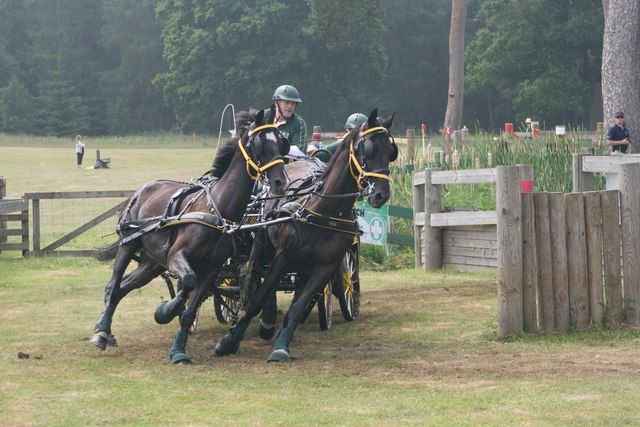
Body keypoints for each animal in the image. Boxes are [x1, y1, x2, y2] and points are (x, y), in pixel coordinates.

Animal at [90, 108, 290, 364]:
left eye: (281, 143)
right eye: (257, 144)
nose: (281, 182)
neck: (217, 209)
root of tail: (139, 192)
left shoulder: (210, 269)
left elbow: (189, 309)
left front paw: (178, 350)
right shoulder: (178, 256)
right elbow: (187, 282)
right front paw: (165, 311)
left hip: (152, 262)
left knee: (122, 288)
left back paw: (108, 333)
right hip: (129, 246)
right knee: (112, 286)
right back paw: (100, 333)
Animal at [215, 108, 396, 362]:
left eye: (391, 151)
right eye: (367, 148)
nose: (381, 195)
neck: (323, 209)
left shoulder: (324, 267)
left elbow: (298, 306)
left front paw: (282, 345)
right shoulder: (283, 256)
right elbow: (259, 297)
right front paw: (230, 340)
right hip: (267, 247)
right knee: (260, 279)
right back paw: (267, 321)